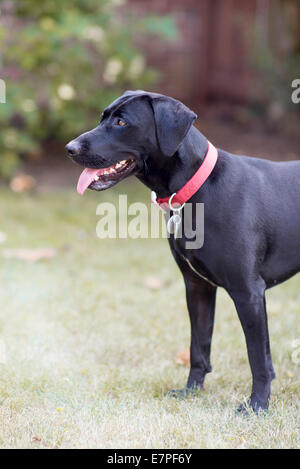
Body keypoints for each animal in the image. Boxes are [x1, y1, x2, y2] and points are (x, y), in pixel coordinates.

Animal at [67, 91, 298, 414]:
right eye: (103, 117)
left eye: (121, 122)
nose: (69, 148)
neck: (195, 192)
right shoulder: (197, 287)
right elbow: (198, 347)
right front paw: (191, 391)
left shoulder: (248, 292)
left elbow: (258, 359)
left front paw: (257, 406)